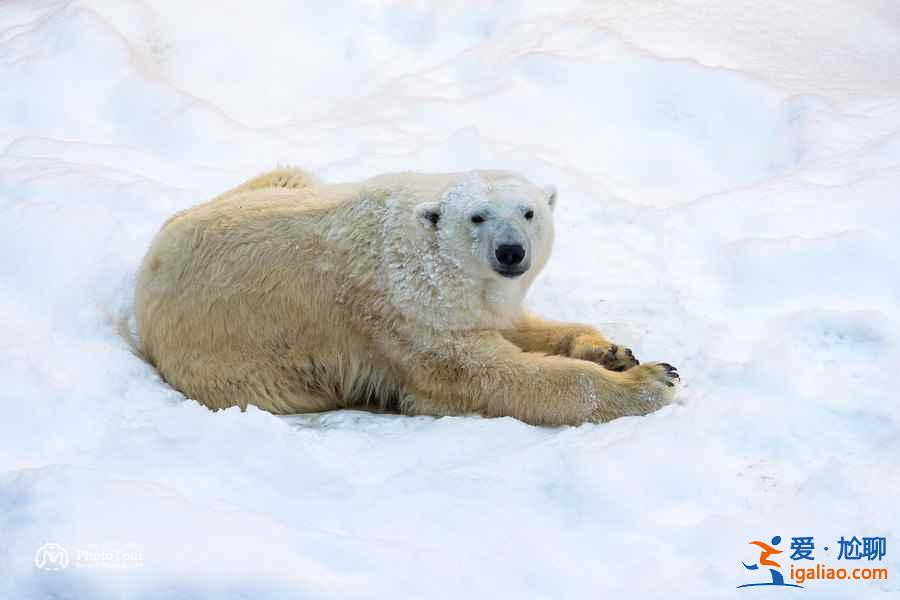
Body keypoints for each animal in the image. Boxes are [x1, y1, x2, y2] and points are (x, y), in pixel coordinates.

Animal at [135, 166, 676, 424]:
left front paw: (613, 351)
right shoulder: (404, 309)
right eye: (477, 216)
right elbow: (487, 375)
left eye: (528, 212)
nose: (510, 252)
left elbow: (514, 324)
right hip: (241, 369)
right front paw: (655, 379)